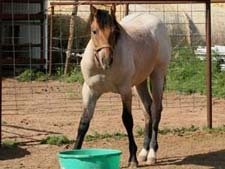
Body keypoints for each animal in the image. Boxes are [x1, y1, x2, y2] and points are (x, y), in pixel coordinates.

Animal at [74, 5, 171, 168]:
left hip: (157, 75)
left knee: (156, 110)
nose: (106, 59)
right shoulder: (90, 91)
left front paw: (132, 159)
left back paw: (152, 153)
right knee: (147, 109)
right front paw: (74, 152)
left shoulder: (125, 91)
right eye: (94, 31)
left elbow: (127, 120)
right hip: (139, 82)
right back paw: (144, 152)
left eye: (114, 31)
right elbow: (83, 123)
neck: (103, 69)